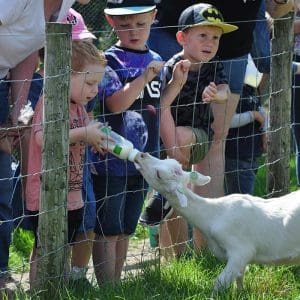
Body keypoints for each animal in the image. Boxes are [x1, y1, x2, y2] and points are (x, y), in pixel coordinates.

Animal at [135, 152, 300, 292]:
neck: (213, 215)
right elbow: (239, 278)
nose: (141, 155)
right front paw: (240, 293)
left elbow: (219, 283)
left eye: (159, 174)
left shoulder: (241, 251)